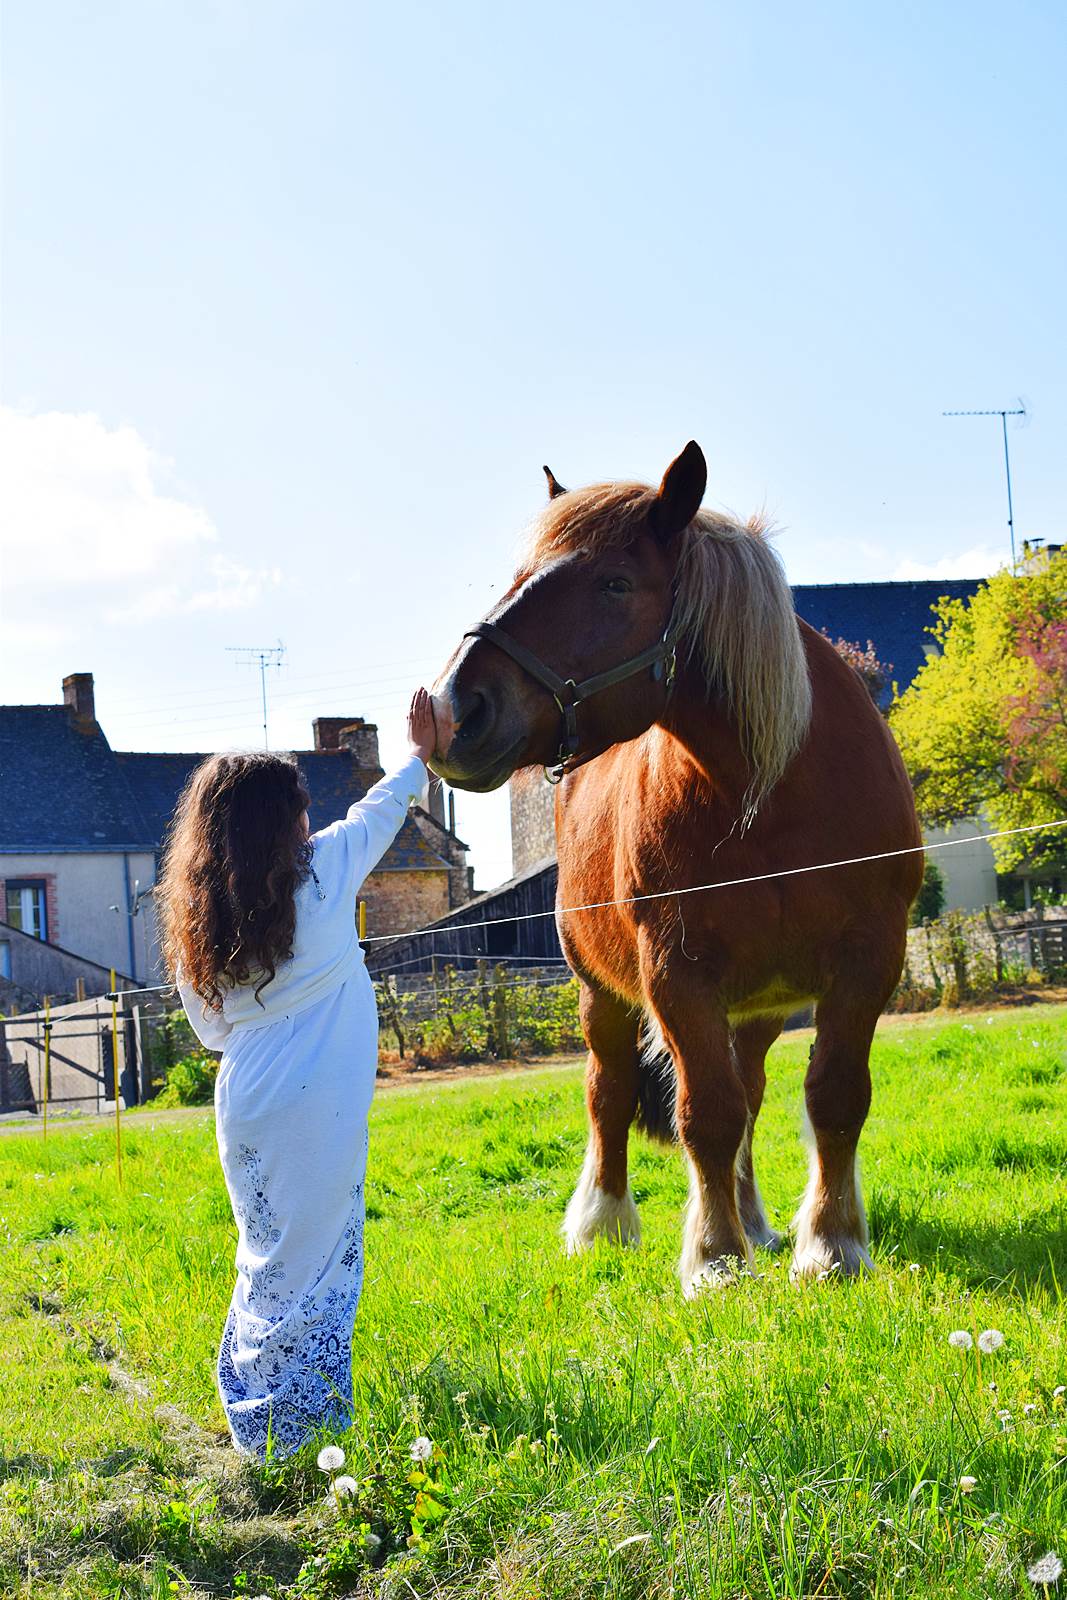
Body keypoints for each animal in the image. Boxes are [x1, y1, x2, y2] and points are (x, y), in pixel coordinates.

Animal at [435, 444, 927, 1292]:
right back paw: (603, 1222)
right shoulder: (675, 973)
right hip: (600, 994)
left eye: (614, 582)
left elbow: (831, 1097)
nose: (453, 709)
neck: (770, 799)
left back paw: (757, 1220)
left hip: (758, 1007)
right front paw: (716, 1258)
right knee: (608, 1092)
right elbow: (705, 1114)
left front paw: (828, 1245)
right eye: (519, 572)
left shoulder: (868, 961)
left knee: (751, 1091)